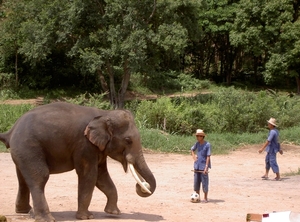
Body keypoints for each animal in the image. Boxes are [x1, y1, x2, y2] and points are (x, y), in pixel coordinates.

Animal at [0, 101, 157, 221]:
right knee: (40, 177)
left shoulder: (97, 148)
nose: (142, 186)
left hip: (22, 151)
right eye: (128, 140)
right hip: (29, 147)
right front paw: (87, 217)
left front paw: (114, 213)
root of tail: (10, 131)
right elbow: (89, 175)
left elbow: (102, 177)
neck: (104, 114)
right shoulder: (84, 145)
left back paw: (25, 212)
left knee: (22, 179)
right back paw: (46, 218)